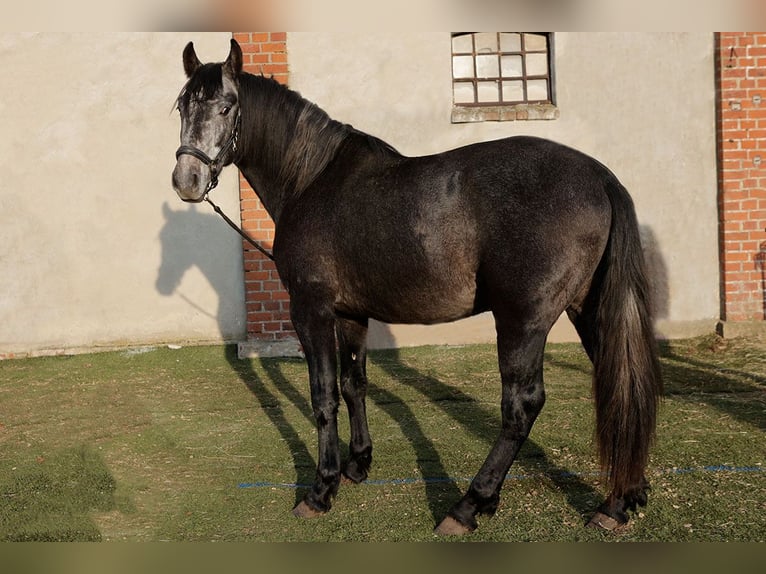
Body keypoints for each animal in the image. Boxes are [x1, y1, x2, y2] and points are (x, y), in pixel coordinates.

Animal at [171, 39, 663, 535]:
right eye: (182, 105)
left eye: (227, 106)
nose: (187, 181)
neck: (311, 179)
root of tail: (599, 177)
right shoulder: (351, 313)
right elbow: (354, 384)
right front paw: (357, 465)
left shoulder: (311, 310)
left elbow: (324, 395)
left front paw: (321, 489)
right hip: (588, 309)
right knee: (623, 385)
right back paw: (619, 500)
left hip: (523, 320)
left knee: (522, 406)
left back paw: (469, 505)